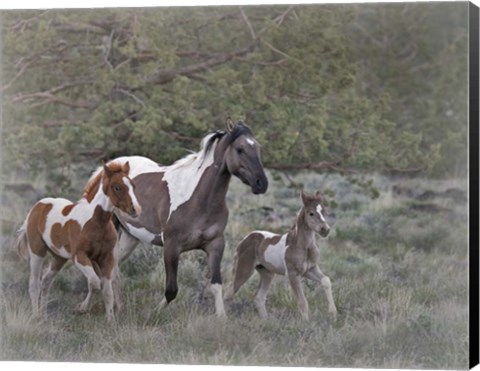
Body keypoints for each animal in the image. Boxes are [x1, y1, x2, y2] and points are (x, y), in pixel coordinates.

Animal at [13, 163, 141, 322]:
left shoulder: (106, 258)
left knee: (46, 281)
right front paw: (81, 308)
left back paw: (43, 315)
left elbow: (107, 290)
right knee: (34, 283)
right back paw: (36, 315)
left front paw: (110, 320)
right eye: (116, 187)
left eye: (133, 185)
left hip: (59, 258)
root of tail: (38, 206)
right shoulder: (78, 256)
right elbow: (94, 283)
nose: (135, 210)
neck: (96, 222)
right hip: (37, 251)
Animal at [109, 120, 270, 316]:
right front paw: (153, 314)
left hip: (131, 236)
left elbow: (216, 284)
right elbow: (171, 290)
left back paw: (119, 307)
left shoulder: (216, 244)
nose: (261, 183)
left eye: (258, 148)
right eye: (240, 149)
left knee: (114, 269)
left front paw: (222, 318)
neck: (199, 199)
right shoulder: (171, 247)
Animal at [230, 190, 336, 322]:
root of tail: (244, 239)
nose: (325, 230)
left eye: (325, 212)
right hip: (244, 270)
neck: (302, 246)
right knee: (229, 291)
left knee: (259, 297)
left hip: (267, 273)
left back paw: (267, 321)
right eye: (311, 213)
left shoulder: (310, 269)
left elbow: (326, 280)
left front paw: (333, 312)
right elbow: (302, 301)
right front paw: (306, 322)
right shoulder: (292, 274)